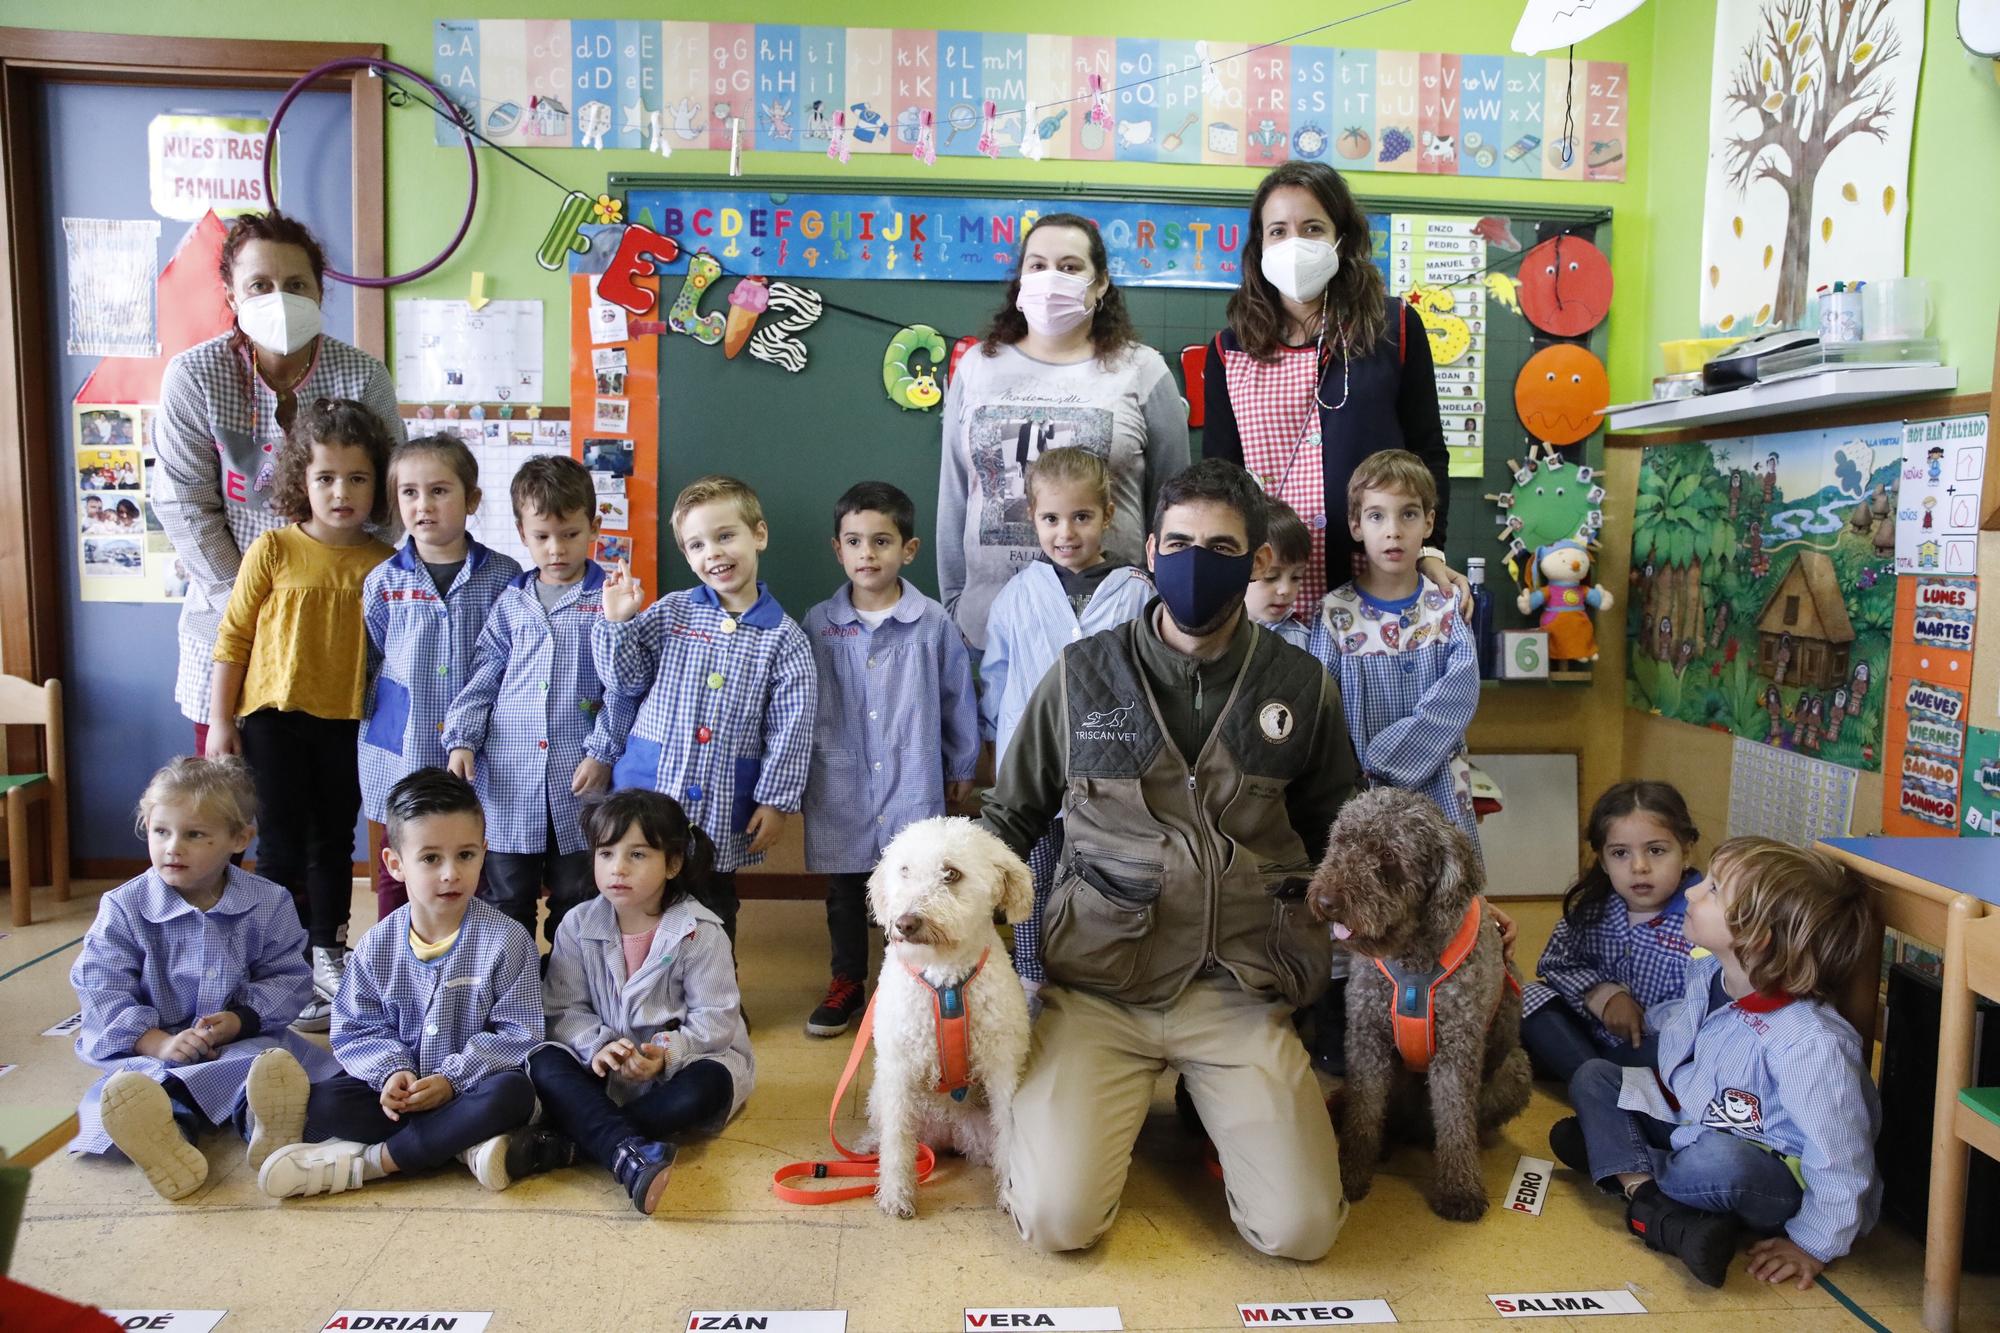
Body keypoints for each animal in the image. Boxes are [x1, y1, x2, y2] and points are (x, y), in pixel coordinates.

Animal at [868, 808, 1040, 1216]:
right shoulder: (897, 1070)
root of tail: (946, 1131)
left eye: (951, 874)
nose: (905, 922)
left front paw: (1009, 1193)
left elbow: (1009, 1132)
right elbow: (896, 1143)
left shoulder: (1003, 1068)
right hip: (885, 1101)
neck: (946, 982)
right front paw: (896, 1194)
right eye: (904, 870)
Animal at [1312, 784, 1528, 1216]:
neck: (1410, 957)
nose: (1327, 901)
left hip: (1515, 1069)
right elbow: (1363, 1116)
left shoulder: (1456, 1052)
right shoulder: (1367, 1041)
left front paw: (1460, 1188)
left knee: (1463, 1122)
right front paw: (1350, 1172)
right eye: (1342, 840)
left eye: (1388, 855)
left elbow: (1455, 1121)